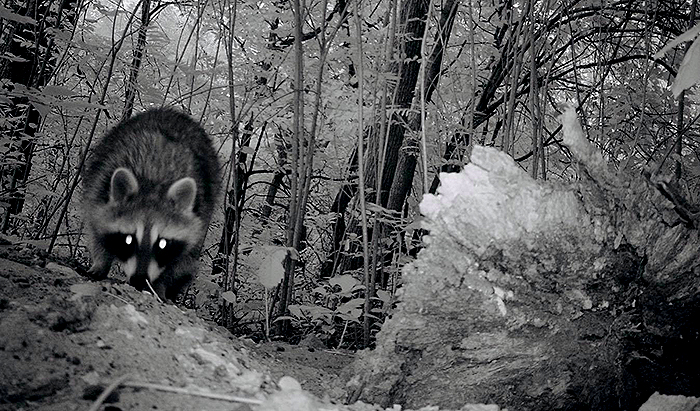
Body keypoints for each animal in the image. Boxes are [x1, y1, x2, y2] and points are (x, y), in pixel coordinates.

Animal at [82, 108, 220, 301]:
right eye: (128, 239)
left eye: (163, 244)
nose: (140, 279)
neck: (154, 182)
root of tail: (173, 112)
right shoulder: (99, 189)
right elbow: (96, 232)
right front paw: (101, 262)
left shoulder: (199, 215)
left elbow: (179, 260)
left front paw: (159, 286)